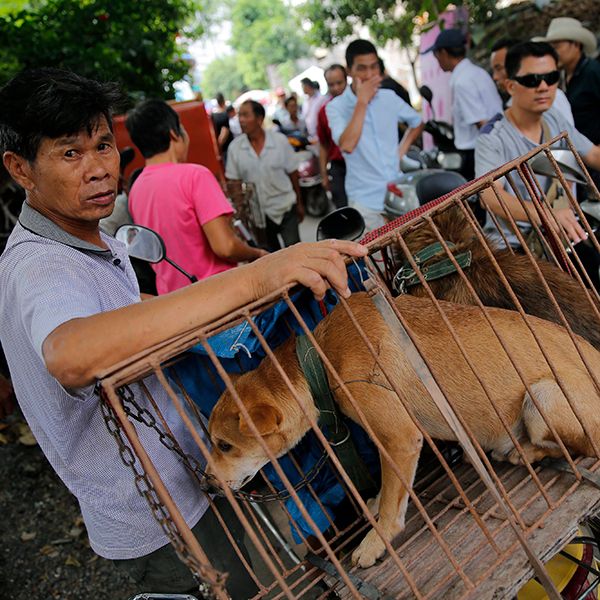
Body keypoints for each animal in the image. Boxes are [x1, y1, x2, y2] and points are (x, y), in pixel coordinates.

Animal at [204, 292, 600, 568]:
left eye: (223, 445)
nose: (207, 486)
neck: (319, 358)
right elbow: (387, 487)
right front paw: (376, 501)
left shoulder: (400, 439)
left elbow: (393, 506)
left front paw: (374, 542)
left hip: (543, 394)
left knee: (583, 447)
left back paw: (520, 451)